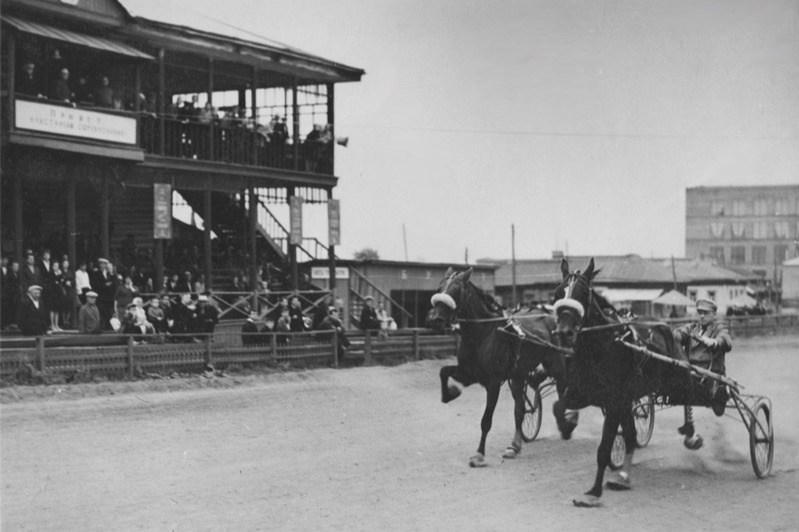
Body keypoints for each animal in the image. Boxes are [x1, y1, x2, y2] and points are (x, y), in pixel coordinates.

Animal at [428, 268, 572, 468]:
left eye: (456, 290)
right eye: (439, 288)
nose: (435, 319)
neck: (482, 334)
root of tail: (550, 317)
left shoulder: (493, 383)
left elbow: (486, 420)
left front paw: (479, 454)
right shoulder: (469, 373)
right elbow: (443, 372)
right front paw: (451, 393)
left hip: (556, 364)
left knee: (561, 391)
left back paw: (565, 424)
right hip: (518, 376)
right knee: (520, 409)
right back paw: (514, 446)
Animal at [552, 258, 704, 508]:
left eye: (582, 293)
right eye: (558, 292)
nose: (564, 332)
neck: (602, 345)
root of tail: (666, 327)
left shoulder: (614, 402)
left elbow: (604, 448)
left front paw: (593, 492)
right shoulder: (583, 393)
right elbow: (558, 406)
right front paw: (568, 425)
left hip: (678, 373)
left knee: (689, 393)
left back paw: (691, 435)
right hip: (629, 399)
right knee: (632, 437)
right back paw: (622, 476)